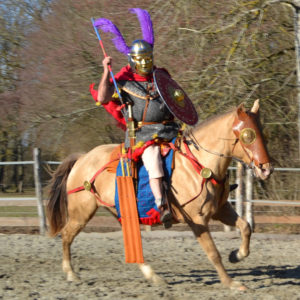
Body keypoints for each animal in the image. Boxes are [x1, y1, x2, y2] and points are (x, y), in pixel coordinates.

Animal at [46, 100, 272, 290]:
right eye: (248, 135)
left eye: (261, 132)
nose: (265, 169)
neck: (199, 164)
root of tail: (82, 158)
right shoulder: (197, 220)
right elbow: (213, 253)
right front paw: (231, 283)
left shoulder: (220, 210)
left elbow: (246, 227)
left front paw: (236, 255)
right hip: (81, 213)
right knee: (66, 235)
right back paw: (71, 273)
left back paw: (152, 275)